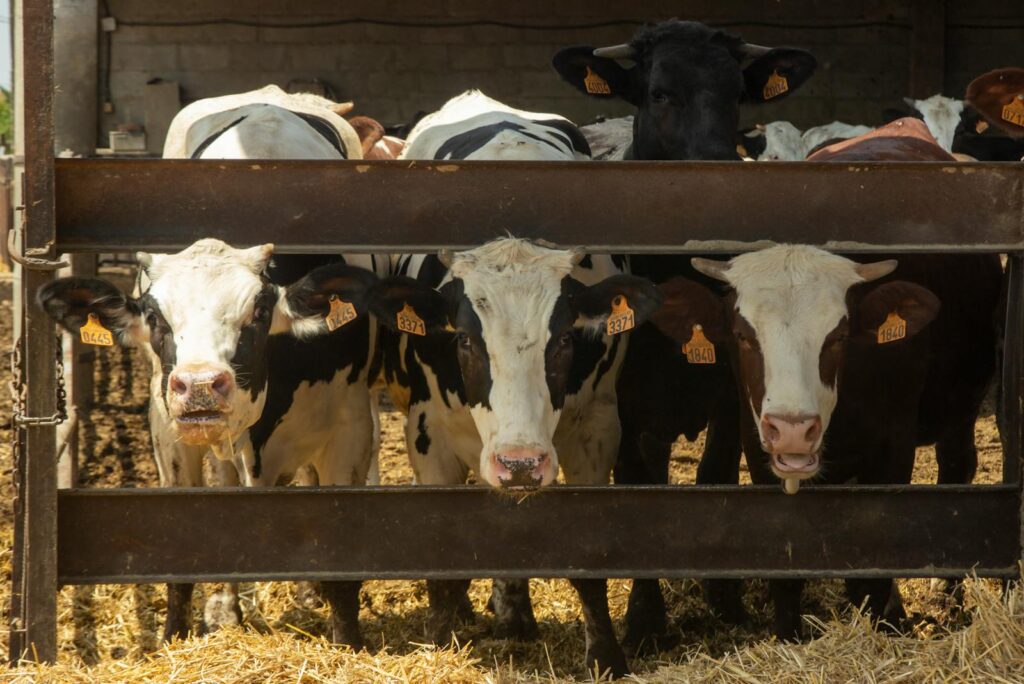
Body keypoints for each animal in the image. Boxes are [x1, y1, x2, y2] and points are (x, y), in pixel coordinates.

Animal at [38, 85, 386, 648]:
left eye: (259, 311)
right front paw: (179, 630)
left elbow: (339, 552)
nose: (200, 386)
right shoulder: (168, 430)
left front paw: (346, 639)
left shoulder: (350, 428)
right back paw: (226, 603)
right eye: (154, 315)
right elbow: (194, 531)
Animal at [375, 90, 659, 677]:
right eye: (464, 340)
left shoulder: (597, 428)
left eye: (566, 339)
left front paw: (605, 653)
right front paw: (440, 639)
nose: (522, 462)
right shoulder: (426, 432)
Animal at [553, 18, 817, 650]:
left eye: (737, 93)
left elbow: (713, 474)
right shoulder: (623, 407)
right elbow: (639, 489)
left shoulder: (730, 394)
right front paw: (646, 619)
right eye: (659, 93)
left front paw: (725, 598)